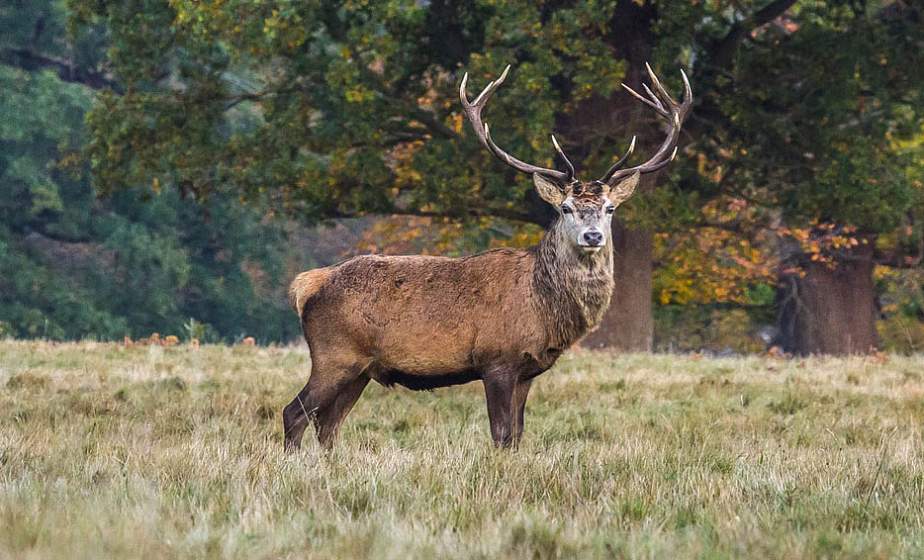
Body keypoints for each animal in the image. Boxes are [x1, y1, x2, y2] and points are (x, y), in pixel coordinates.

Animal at [286, 62, 688, 450]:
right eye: (566, 209)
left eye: (609, 208)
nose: (593, 236)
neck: (543, 306)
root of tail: (307, 285)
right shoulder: (496, 360)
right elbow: (501, 433)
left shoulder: (527, 370)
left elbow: (518, 435)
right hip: (334, 355)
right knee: (295, 413)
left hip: (361, 369)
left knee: (327, 424)